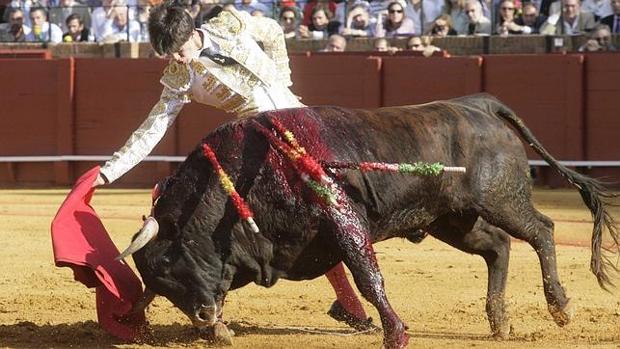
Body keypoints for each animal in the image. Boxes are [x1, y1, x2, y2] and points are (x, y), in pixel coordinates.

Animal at [118, 93, 616, 348]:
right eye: (160, 281)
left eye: (172, 263)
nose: (201, 316)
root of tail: (477, 104)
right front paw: (214, 327)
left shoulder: (343, 220)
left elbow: (367, 276)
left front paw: (395, 333)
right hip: (452, 220)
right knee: (498, 246)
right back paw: (499, 321)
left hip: (499, 199)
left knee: (541, 231)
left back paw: (560, 306)